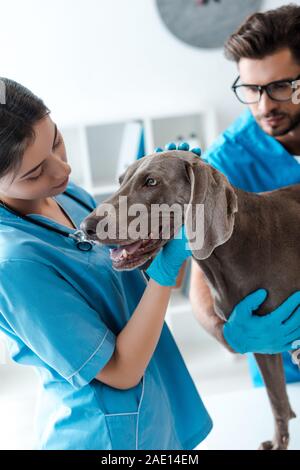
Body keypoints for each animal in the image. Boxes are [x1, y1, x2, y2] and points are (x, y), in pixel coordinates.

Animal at [81, 151, 298, 452]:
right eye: (120, 181)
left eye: (151, 181)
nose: (86, 227)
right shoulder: (263, 337)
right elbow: (277, 399)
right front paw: (279, 442)